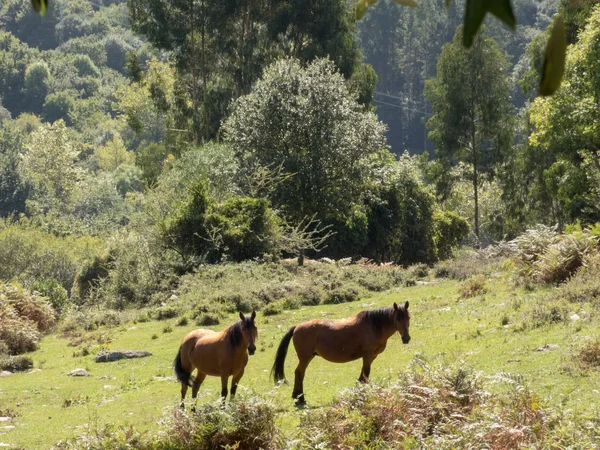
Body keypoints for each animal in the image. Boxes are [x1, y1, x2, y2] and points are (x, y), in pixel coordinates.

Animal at [270, 302, 408, 404]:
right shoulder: (368, 355)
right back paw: (301, 398)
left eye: (408, 318)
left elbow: (362, 374)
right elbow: (366, 373)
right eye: (397, 319)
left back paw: (296, 396)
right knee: (299, 373)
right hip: (305, 358)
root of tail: (297, 327)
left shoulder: (371, 356)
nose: (406, 338)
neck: (374, 326)